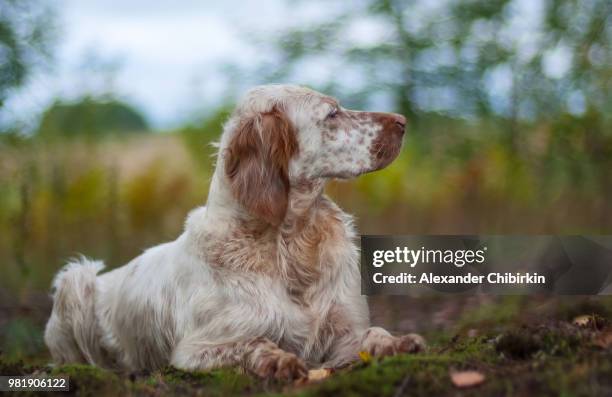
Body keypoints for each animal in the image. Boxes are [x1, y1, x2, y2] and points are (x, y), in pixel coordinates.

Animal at [44, 83, 426, 378]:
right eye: (332, 113)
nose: (403, 121)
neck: (290, 242)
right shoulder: (196, 349)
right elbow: (254, 343)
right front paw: (278, 360)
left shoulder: (343, 335)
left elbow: (372, 332)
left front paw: (399, 342)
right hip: (75, 278)